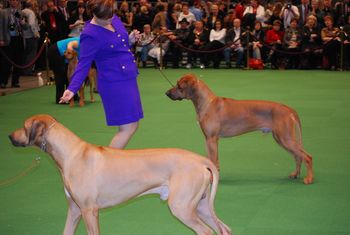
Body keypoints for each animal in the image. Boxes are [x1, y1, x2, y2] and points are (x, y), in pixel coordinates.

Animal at [165, 74, 314, 185]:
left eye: (179, 86)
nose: (166, 93)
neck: (207, 103)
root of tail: (289, 109)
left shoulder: (212, 139)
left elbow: (213, 160)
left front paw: (213, 179)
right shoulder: (207, 139)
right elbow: (209, 159)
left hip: (285, 138)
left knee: (307, 156)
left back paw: (309, 179)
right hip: (282, 138)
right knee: (297, 156)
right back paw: (295, 174)